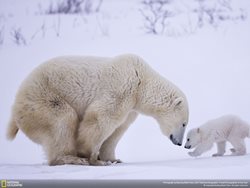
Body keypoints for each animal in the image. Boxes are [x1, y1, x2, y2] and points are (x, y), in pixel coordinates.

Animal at [6, 53, 188, 165]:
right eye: (184, 123)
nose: (179, 143)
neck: (142, 81)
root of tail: (15, 108)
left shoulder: (131, 107)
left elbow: (117, 130)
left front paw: (113, 159)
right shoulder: (122, 88)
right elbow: (102, 118)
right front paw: (93, 158)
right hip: (42, 98)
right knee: (63, 119)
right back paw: (71, 158)